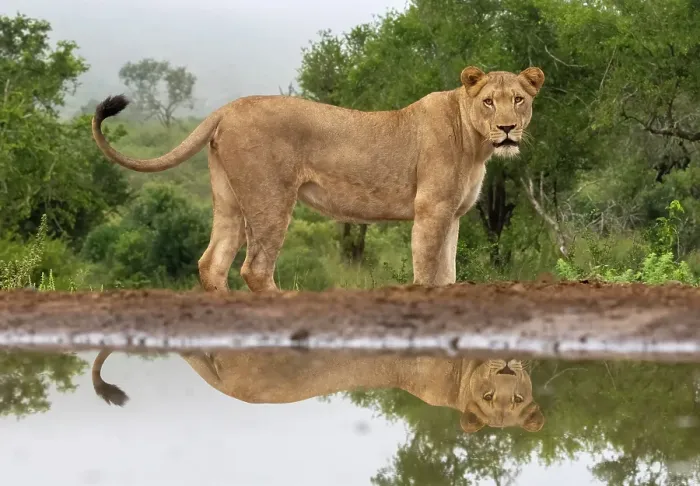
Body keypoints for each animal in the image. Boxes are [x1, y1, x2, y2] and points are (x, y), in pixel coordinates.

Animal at [92, 66, 544, 292]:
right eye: (489, 102)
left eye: (518, 100)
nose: (507, 129)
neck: (475, 143)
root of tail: (228, 107)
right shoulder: (431, 209)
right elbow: (428, 271)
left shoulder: (453, 215)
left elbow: (448, 271)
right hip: (271, 199)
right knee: (255, 269)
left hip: (229, 199)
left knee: (213, 262)